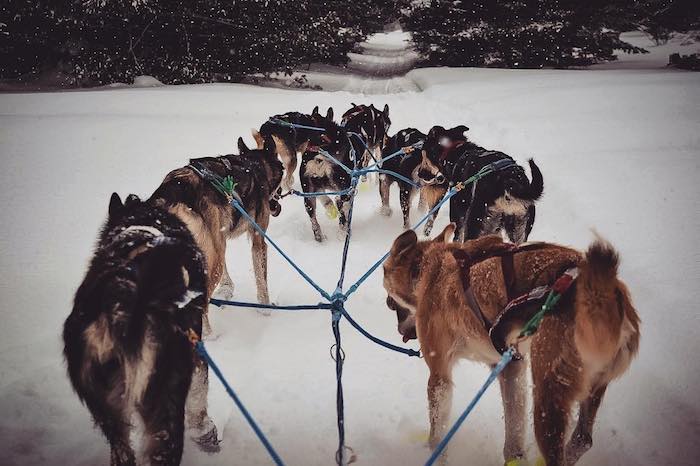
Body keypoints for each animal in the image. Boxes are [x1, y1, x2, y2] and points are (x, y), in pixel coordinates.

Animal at [66, 193, 220, 466]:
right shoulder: (196, 352)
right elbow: (200, 392)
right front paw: (205, 431)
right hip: (165, 409)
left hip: (110, 417)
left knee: (122, 453)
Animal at [382, 224, 640, 464]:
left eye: (390, 302)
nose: (399, 329)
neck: (431, 270)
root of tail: (608, 293)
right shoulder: (510, 366)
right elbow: (514, 435)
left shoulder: (440, 376)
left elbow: (438, 436)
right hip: (592, 387)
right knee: (582, 439)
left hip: (548, 399)